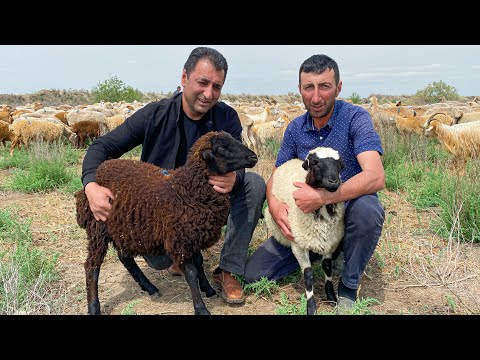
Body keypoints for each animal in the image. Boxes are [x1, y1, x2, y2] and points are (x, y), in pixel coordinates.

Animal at [266, 146, 344, 316]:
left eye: (339, 164)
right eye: (315, 163)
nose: (334, 181)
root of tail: (291, 160)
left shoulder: (329, 243)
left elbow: (327, 268)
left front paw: (331, 297)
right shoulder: (299, 246)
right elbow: (308, 275)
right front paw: (311, 306)